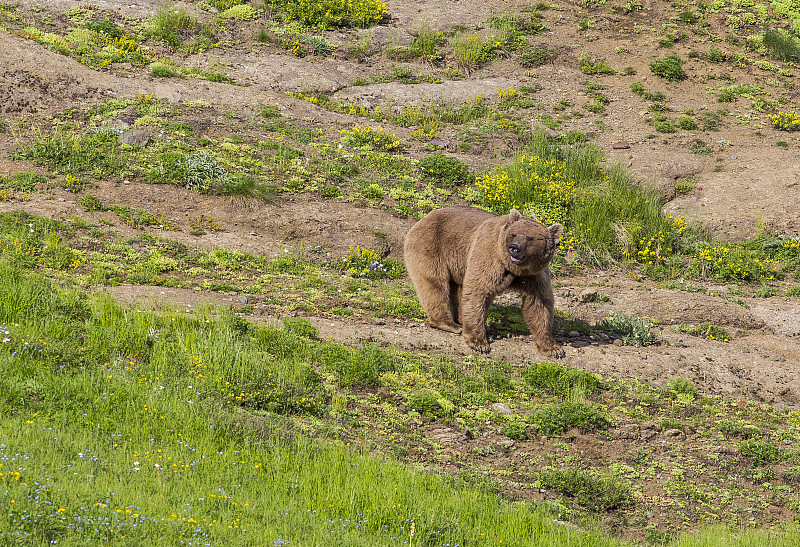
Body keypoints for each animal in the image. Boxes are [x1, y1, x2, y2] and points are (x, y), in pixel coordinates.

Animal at [406, 206, 564, 356]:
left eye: (530, 238)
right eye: (514, 234)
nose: (514, 248)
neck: (514, 268)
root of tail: (424, 218)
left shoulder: (534, 274)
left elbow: (539, 303)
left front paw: (552, 348)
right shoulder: (489, 255)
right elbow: (478, 291)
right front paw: (479, 343)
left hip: (458, 263)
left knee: (458, 289)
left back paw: (465, 321)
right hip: (433, 245)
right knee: (435, 284)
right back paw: (449, 324)